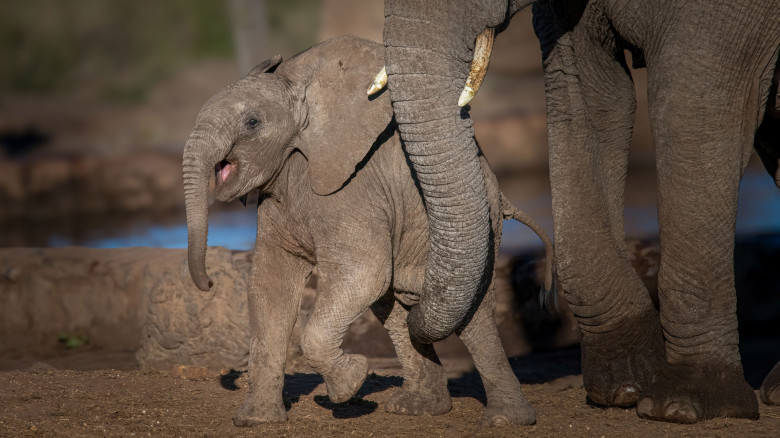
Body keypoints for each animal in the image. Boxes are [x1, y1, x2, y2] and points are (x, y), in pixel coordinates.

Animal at [182, 36, 552, 426]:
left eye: (252, 122)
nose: (209, 282)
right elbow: (270, 285)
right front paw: (257, 420)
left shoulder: (352, 190)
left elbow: (362, 273)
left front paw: (350, 383)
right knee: (394, 309)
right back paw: (419, 407)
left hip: (481, 231)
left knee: (473, 318)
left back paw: (505, 419)